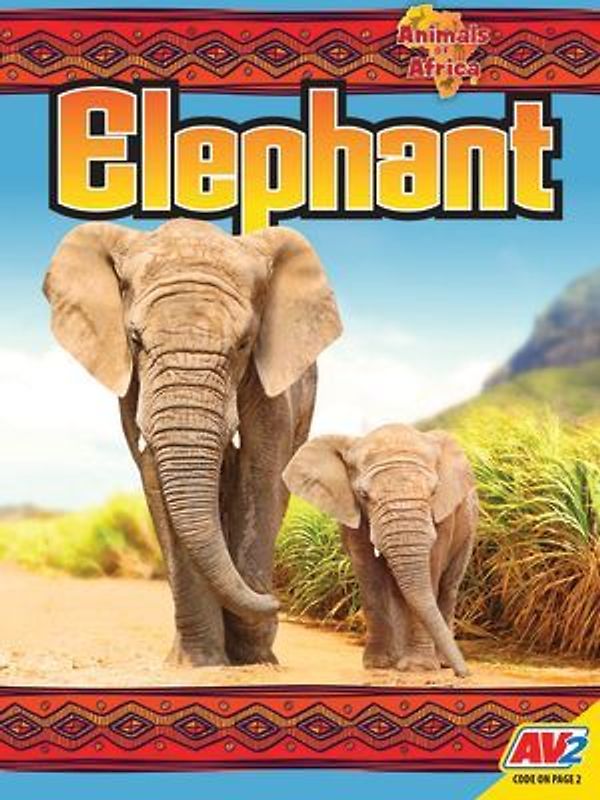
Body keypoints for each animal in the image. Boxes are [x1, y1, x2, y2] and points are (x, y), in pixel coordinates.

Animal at [43, 219, 342, 666]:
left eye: (244, 343)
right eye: (135, 340)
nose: (278, 602)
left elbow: (260, 474)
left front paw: (253, 656)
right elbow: (155, 477)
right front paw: (199, 662)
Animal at [283, 424, 477, 677]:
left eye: (434, 492)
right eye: (364, 495)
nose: (465, 673)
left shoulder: (444, 517)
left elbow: (432, 568)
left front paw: (418, 668)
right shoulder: (352, 513)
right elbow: (370, 575)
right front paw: (378, 664)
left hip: (469, 531)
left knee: (448, 586)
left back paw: (440, 662)